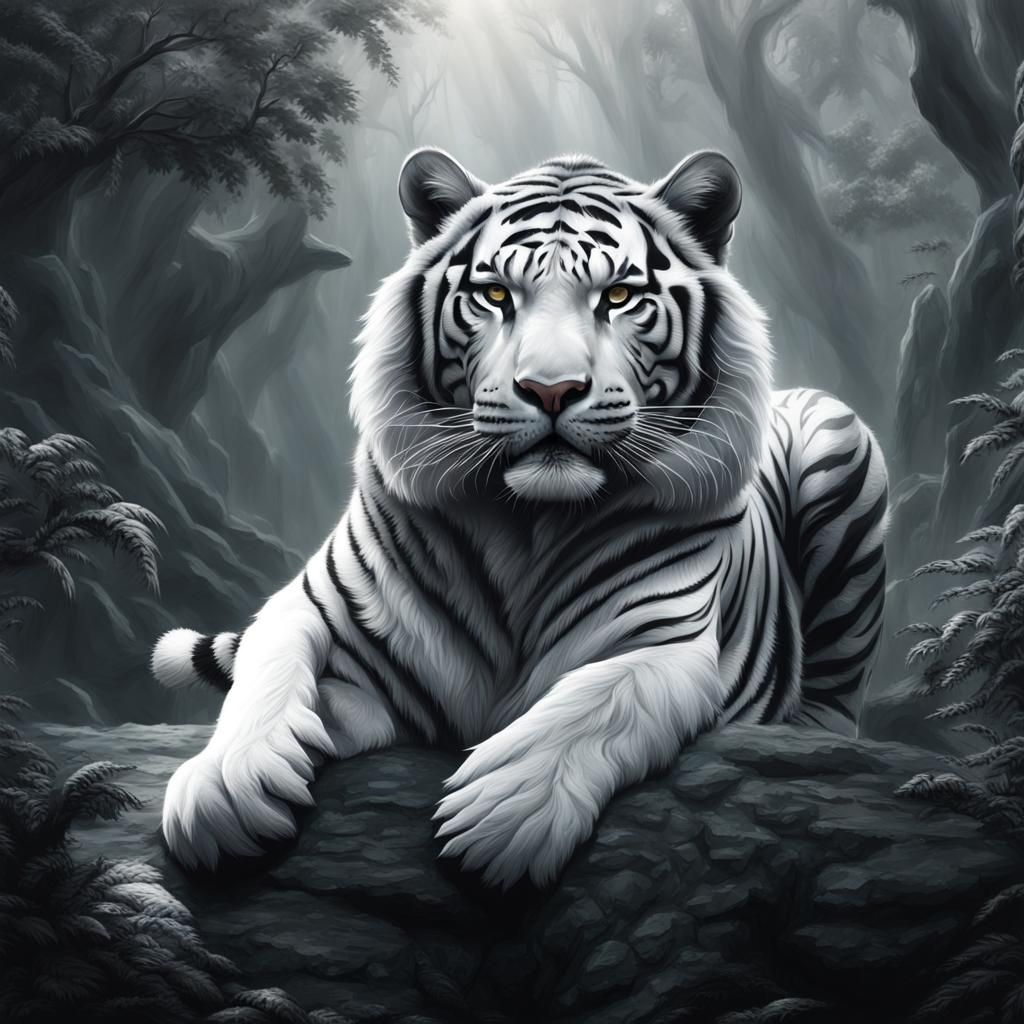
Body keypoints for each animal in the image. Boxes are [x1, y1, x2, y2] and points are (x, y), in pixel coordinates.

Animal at [155, 148, 888, 889]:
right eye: (496, 295)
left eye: (617, 297)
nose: (551, 389)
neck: (528, 523)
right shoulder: (309, 603)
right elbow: (267, 669)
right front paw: (227, 785)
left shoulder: (666, 643)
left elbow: (597, 700)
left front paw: (503, 814)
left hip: (840, 445)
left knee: (836, 703)